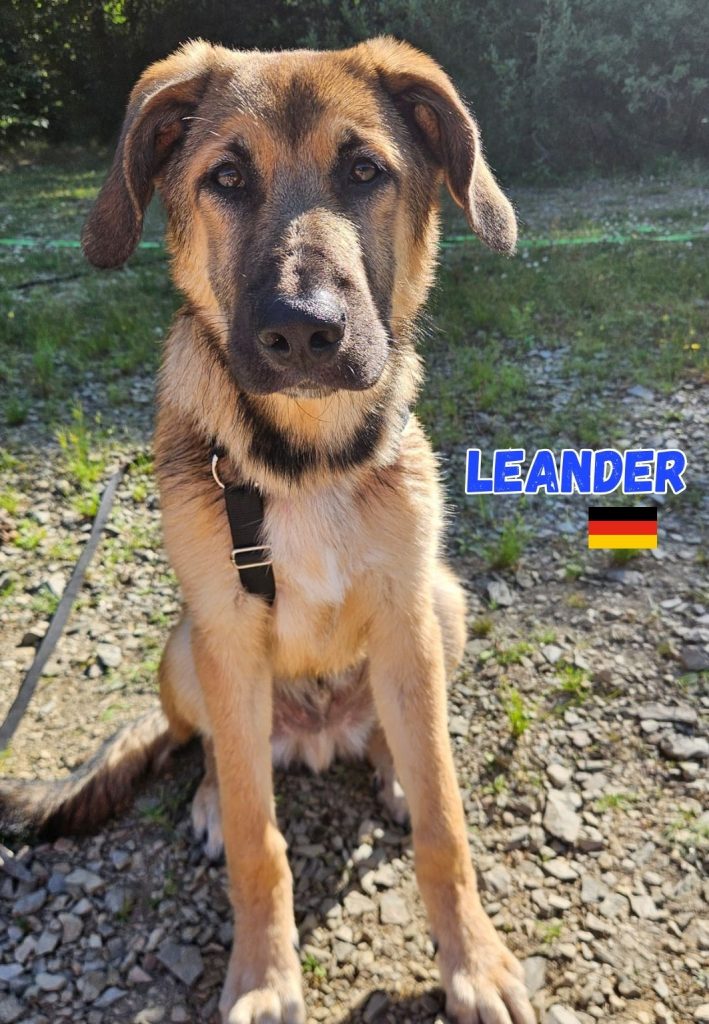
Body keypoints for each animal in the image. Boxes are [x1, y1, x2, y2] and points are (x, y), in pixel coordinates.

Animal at [1, 38, 534, 1024]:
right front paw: (261, 977)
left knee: (399, 734)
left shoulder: (406, 612)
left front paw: (473, 963)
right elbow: (260, 840)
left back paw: (390, 766)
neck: (304, 461)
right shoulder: (227, 631)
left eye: (365, 171)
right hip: (187, 646)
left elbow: (444, 823)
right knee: (218, 749)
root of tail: (315, 730)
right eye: (226, 178)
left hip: (441, 606)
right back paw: (214, 798)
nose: (302, 331)